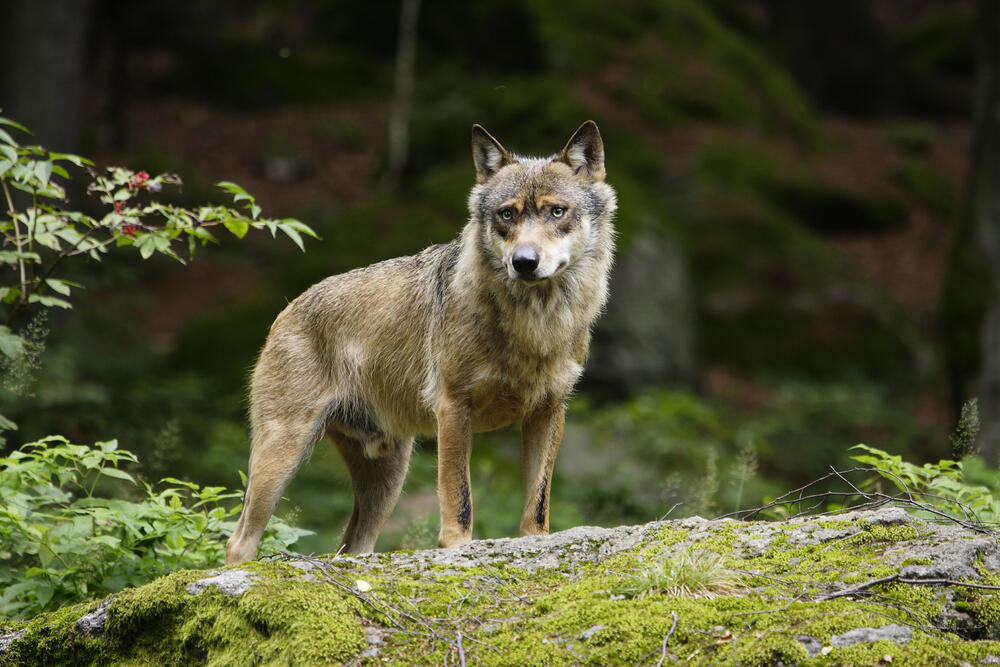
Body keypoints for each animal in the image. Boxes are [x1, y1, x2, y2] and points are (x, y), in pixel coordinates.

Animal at [225, 121, 617, 564]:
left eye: (557, 211)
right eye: (507, 214)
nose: (524, 262)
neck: (534, 326)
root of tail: (287, 308)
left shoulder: (549, 411)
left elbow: (538, 502)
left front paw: (537, 543)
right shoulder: (453, 407)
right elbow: (459, 499)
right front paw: (459, 550)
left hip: (387, 477)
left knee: (353, 545)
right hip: (283, 457)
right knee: (240, 541)